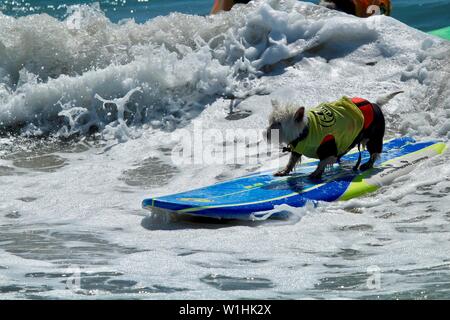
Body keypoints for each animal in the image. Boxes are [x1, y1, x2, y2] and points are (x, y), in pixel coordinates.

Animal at [266, 91, 402, 179]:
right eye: (271, 121)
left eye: (278, 124)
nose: (267, 134)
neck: (306, 131)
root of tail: (375, 104)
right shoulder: (298, 148)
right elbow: (291, 161)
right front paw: (284, 171)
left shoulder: (329, 148)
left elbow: (322, 162)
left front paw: (316, 173)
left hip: (374, 137)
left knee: (374, 153)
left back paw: (367, 164)